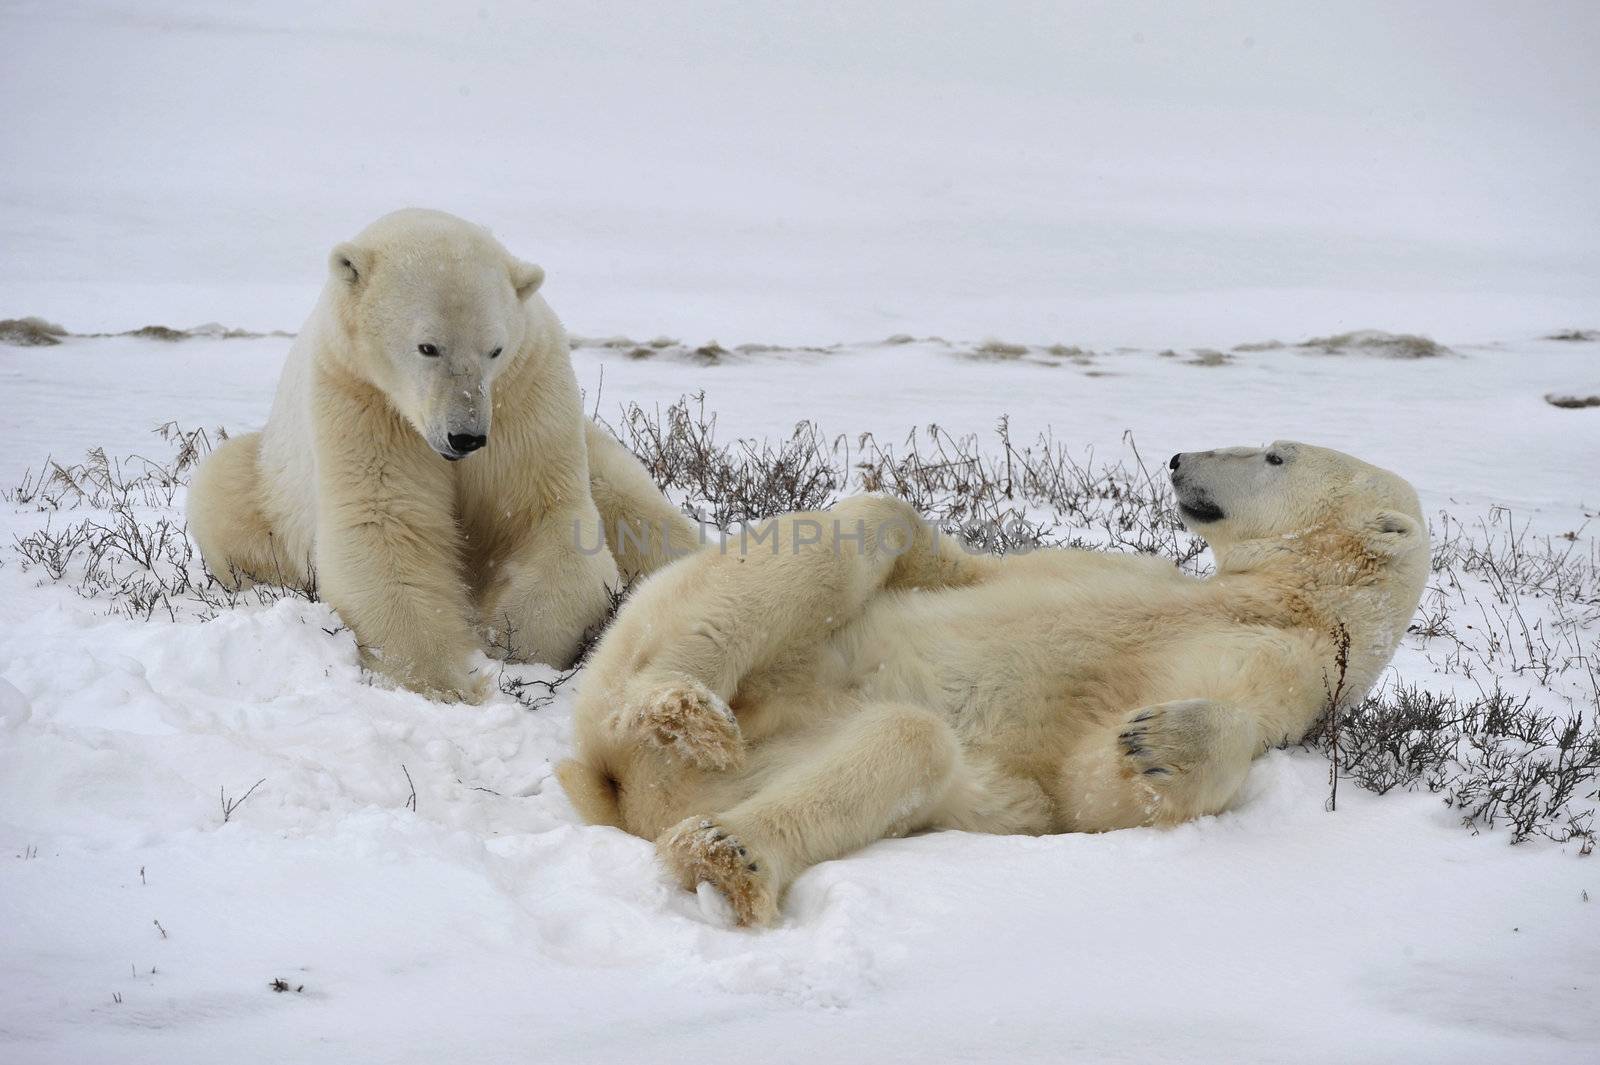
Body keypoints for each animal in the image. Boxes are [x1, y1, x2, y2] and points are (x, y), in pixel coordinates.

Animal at [185, 211, 694, 700]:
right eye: (428, 346)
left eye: (495, 348)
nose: (466, 436)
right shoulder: (359, 398)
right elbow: (385, 525)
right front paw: (446, 680)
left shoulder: (526, 395)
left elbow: (545, 517)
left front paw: (504, 642)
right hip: (267, 480)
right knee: (221, 490)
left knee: (637, 507)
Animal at [560, 438, 1427, 921]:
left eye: (1277, 454)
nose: (1181, 459)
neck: (1288, 599)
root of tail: (625, 789)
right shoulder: (1126, 572)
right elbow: (960, 565)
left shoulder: (1293, 673)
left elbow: (1097, 784)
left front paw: (1158, 737)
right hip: (683, 632)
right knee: (865, 528)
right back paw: (681, 705)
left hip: (762, 755)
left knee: (907, 740)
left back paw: (727, 851)